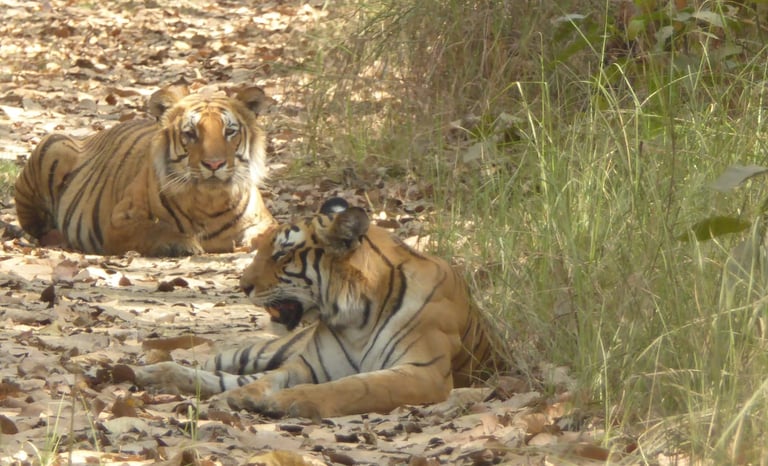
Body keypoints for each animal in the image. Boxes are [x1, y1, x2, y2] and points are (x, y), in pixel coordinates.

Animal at [14, 84, 275, 257]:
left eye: (229, 132)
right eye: (191, 134)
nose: (214, 164)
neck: (209, 202)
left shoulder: (263, 221)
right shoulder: (119, 221)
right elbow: (154, 228)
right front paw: (183, 243)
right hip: (54, 145)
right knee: (36, 228)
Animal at [131, 197, 507, 419]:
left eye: (282, 254)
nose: (243, 285)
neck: (356, 318)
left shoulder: (423, 371)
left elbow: (353, 386)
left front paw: (287, 401)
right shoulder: (306, 363)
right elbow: (270, 378)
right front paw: (246, 397)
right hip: (266, 348)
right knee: (216, 364)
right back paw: (147, 371)